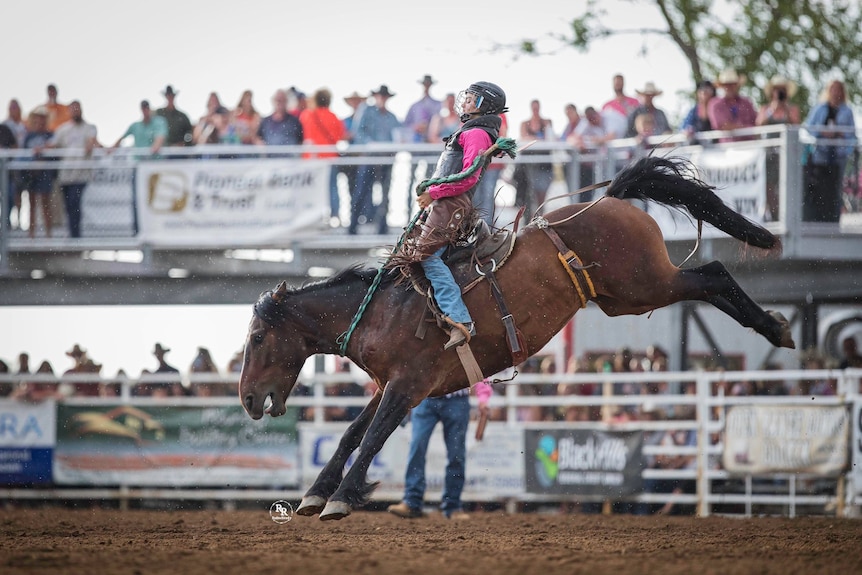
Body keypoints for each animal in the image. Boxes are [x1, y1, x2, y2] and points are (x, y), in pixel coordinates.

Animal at [236, 156, 796, 520]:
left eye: (259, 337)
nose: (245, 399)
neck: (382, 309)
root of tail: (609, 199)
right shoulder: (391, 385)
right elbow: (353, 433)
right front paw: (315, 493)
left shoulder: (409, 385)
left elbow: (373, 437)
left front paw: (340, 499)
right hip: (628, 296)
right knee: (710, 280)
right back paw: (775, 326)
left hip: (646, 285)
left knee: (715, 273)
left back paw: (776, 328)